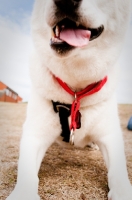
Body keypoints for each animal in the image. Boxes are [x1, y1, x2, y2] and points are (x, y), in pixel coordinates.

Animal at [6, 0, 132, 200]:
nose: (65, 1)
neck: (75, 89)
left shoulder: (110, 135)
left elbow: (118, 171)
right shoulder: (34, 134)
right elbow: (26, 171)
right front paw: (23, 193)